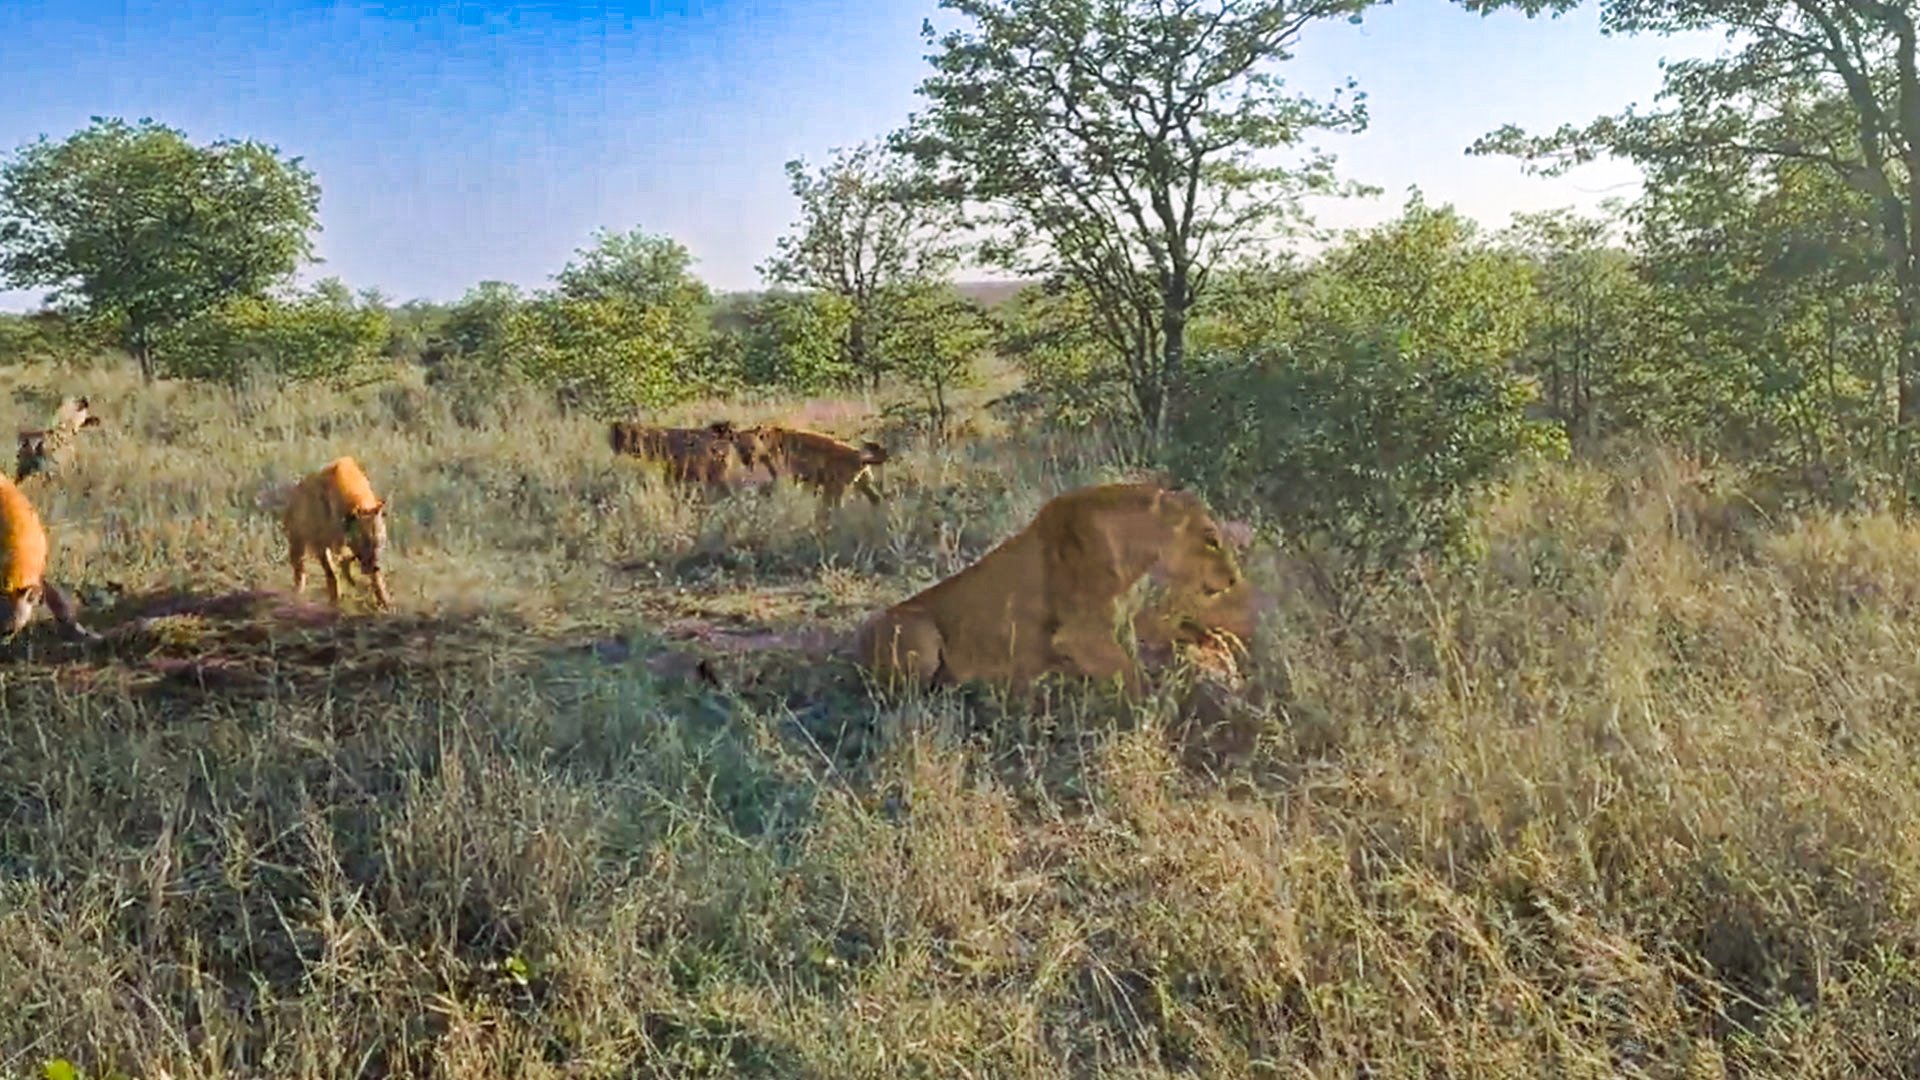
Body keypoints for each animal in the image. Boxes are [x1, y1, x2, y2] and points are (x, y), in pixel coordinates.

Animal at [282, 456, 393, 610]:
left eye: (379, 542)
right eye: (364, 541)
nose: (376, 565)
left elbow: (376, 579)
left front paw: (385, 602)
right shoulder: (322, 544)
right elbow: (331, 572)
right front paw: (334, 600)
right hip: (298, 541)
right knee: (299, 566)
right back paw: (299, 591)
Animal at [741, 425, 888, 507]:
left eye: (765, 435)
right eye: (760, 435)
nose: (761, 437)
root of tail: (860, 456)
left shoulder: (807, 478)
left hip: (834, 486)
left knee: (834, 505)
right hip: (861, 484)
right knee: (875, 499)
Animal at [851, 482, 1242, 697]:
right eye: (1211, 538)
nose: (1234, 580)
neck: (1136, 553)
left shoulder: (1128, 620)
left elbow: (1204, 632)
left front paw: (1229, 661)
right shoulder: (1080, 633)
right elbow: (1133, 674)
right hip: (918, 633)